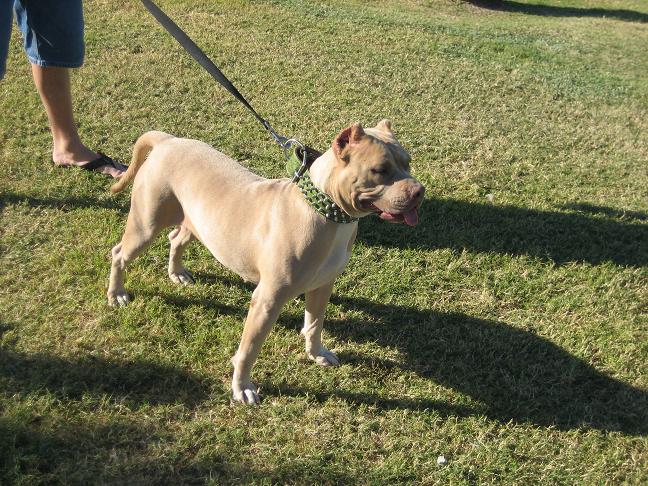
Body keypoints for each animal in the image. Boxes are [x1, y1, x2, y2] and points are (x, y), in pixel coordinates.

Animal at [108, 120, 424, 404]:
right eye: (380, 170)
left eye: (408, 163)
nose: (419, 191)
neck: (328, 214)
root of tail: (168, 140)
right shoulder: (267, 300)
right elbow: (248, 350)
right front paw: (242, 388)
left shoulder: (322, 286)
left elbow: (314, 324)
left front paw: (316, 353)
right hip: (145, 226)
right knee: (119, 253)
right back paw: (117, 294)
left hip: (195, 223)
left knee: (176, 238)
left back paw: (177, 273)